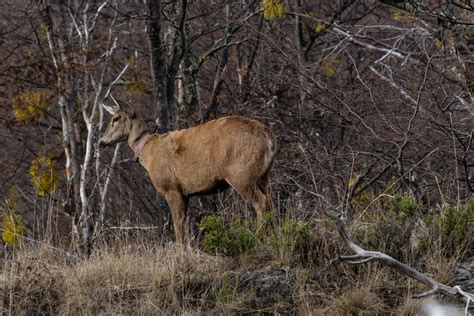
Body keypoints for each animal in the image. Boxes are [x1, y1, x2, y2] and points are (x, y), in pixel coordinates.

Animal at [100, 99, 278, 244]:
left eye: (115, 119)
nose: (101, 141)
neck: (147, 152)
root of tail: (268, 137)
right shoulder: (185, 192)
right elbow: (185, 223)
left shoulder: (170, 187)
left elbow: (177, 223)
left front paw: (180, 252)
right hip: (262, 176)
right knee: (268, 200)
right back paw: (272, 237)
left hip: (240, 173)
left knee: (261, 202)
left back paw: (257, 238)